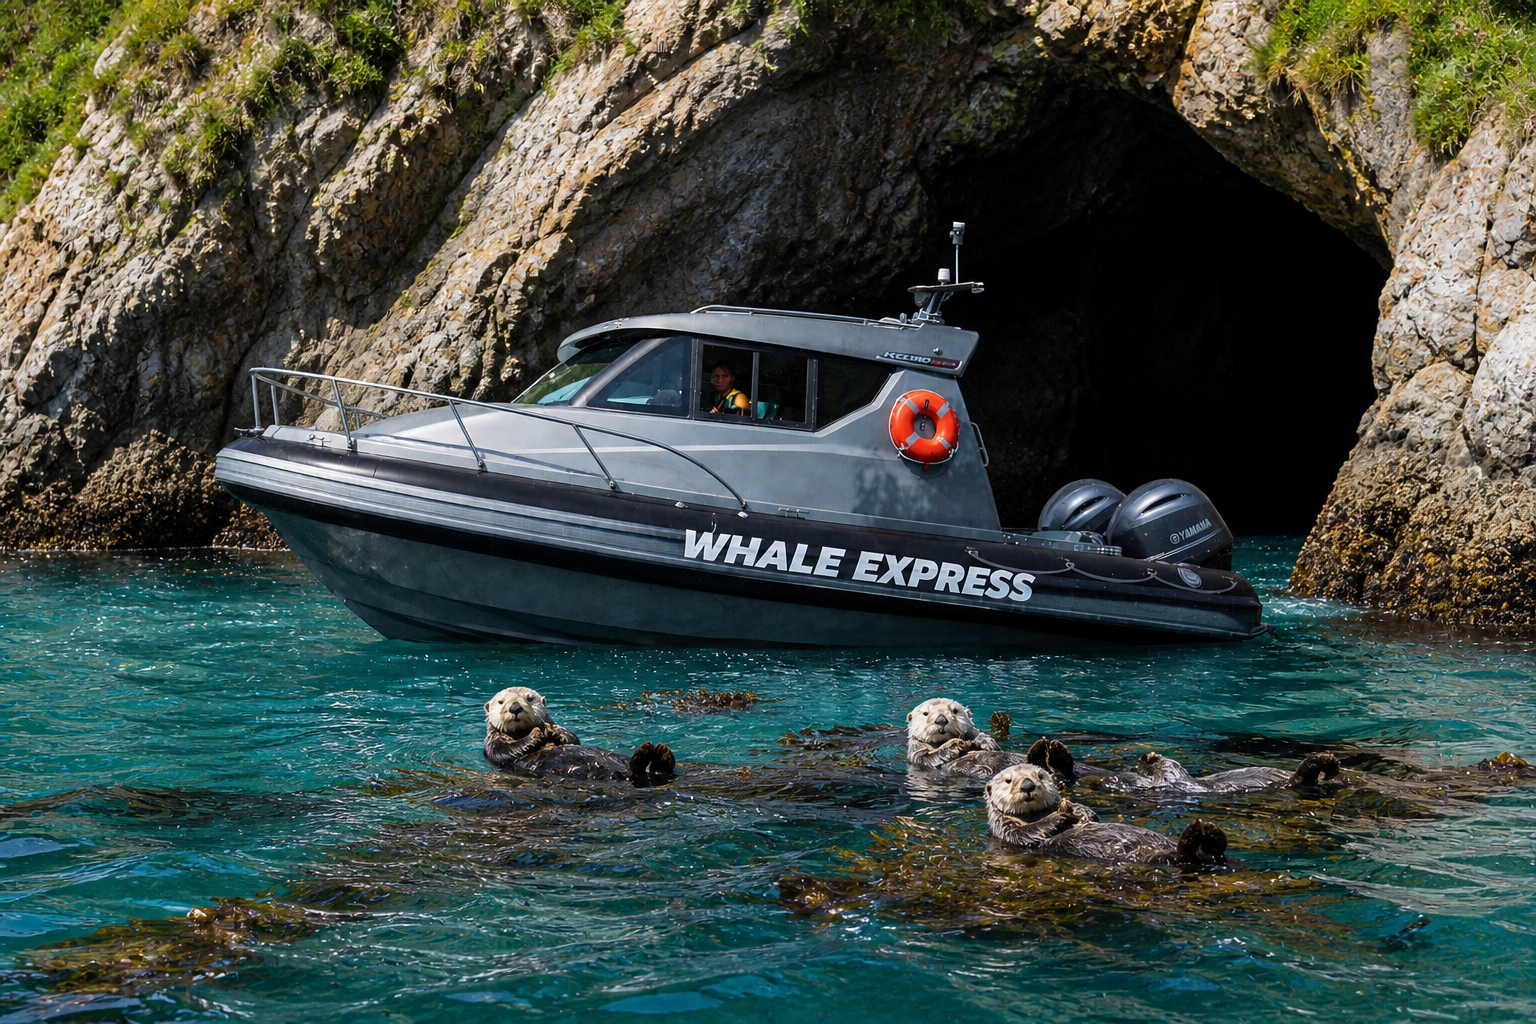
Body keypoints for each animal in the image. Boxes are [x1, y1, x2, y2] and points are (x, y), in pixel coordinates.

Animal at [482, 686, 675, 783]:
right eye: (500, 702)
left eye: (529, 699)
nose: (515, 707)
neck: (521, 732)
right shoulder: (492, 742)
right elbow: (503, 751)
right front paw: (536, 733)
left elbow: (574, 739)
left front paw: (556, 731)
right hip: (602, 774)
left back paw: (659, 752)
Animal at [984, 764, 1227, 865]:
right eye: (1008, 781)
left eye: (1040, 776)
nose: (1028, 785)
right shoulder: (1005, 830)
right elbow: (1027, 833)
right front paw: (1060, 815)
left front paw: (1081, 811)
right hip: (1161, 858)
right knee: (1184, 855)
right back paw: (1196, 832)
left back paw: (1210, 831)